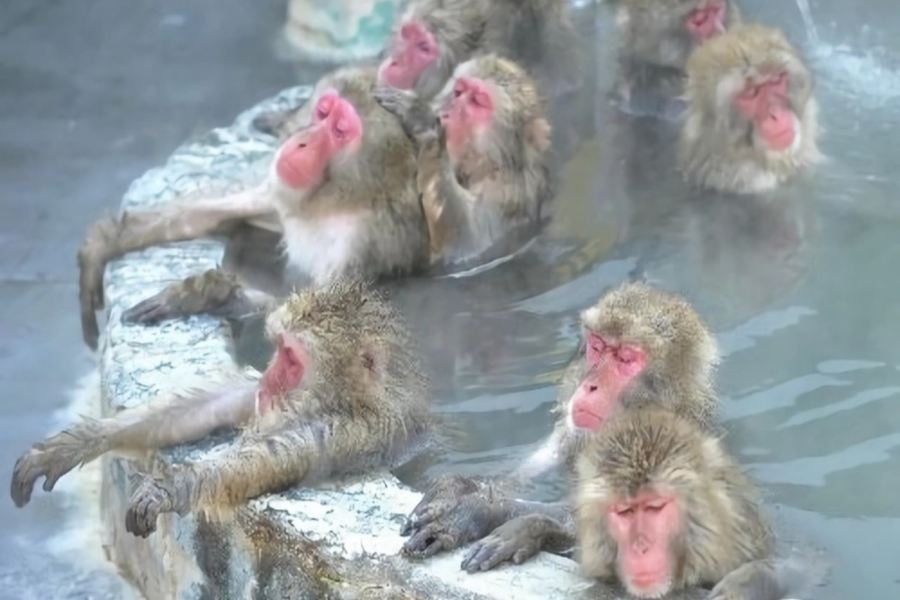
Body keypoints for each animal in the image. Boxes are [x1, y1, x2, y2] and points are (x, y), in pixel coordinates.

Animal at [12, 281, 433, 538]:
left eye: (291, 359)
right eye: (278, 349)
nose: (269, 378)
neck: (348, 399)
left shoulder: (350, 431)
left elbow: (266, 461)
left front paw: (167, 488)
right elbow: (211, 407)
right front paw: (73, 444)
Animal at [78, 67, 429, 350]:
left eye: (340, 130)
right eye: (323, 112)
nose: (302, 142)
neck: (336, 202)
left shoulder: (363, 246)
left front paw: (203, 295)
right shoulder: (280, 193)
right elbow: (210, 217)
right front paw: (102, 244)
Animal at [375, 54, 555, 267]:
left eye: (477, 101)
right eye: (458, 92)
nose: (445, 115)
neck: (484, 165)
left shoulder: (504, 192)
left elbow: (468, 243)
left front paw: (422, 121)